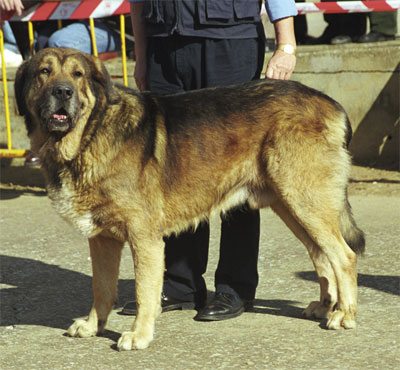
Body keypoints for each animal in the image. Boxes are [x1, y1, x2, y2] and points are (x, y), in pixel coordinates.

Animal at [15, 48, 364, 350]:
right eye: (44, 72)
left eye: (78, 75)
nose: (62, 92)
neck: (90, 134)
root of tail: (331, 103)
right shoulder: (103, 239)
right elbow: (101, 288)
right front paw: (93, 326)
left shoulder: (144, 238)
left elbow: (144, 291)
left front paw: (139, 335)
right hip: (292, 206)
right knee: (321, 256)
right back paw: (326, 306)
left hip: (305, 201)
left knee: (344, 256)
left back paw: (344, 314)